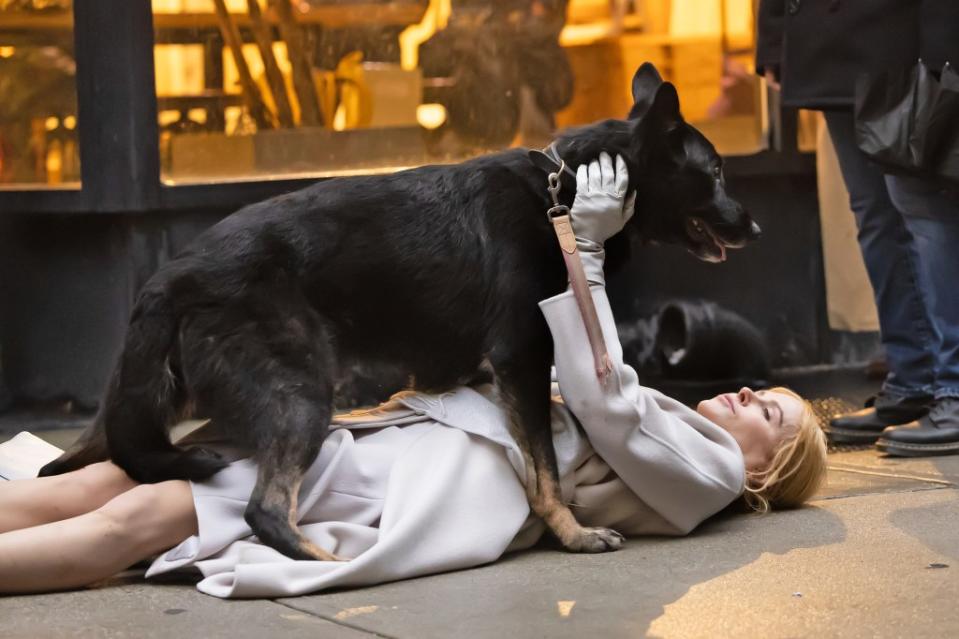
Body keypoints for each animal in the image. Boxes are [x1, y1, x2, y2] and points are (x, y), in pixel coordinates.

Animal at [41, 63, 760, 560]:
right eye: (717, 172)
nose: (753, 224)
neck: (565, 190)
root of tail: (166, 280)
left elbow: (534, 459)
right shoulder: (524, 358)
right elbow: (547, 470)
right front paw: (573, 534)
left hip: (173, 413)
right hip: (303, 395)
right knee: (264, 510)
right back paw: (328, 564)